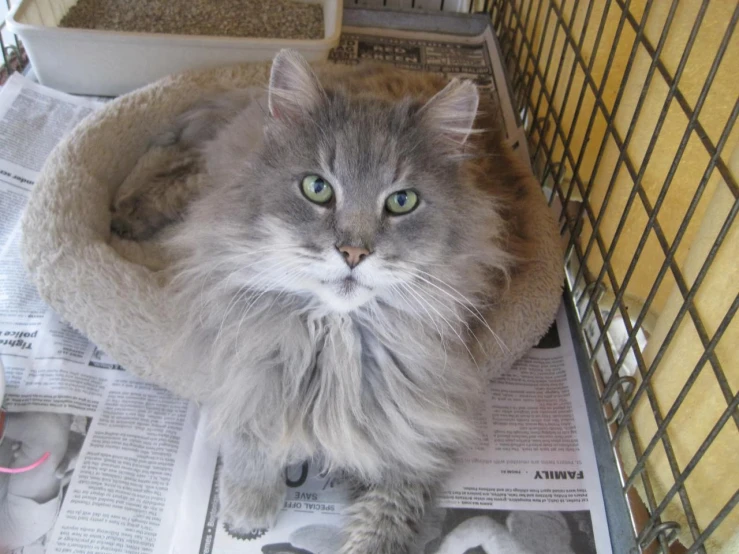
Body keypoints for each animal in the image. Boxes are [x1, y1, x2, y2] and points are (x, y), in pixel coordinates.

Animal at [112, 49, 536, 548]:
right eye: (318, 189)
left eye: (402, 202)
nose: (353, 252)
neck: (336, 338)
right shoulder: (250, 361)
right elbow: (251, 432)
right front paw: (247, 509)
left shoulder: (416, 432)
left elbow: (384, 521)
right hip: (214, 167)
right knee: (180, 168)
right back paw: (127, 214)